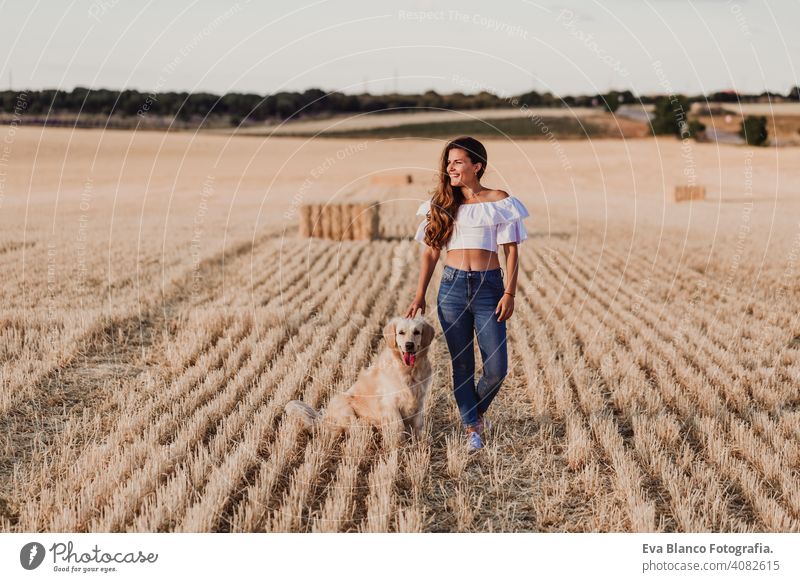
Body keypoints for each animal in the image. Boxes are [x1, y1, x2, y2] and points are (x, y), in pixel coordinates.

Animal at [288, 318, 434, 444]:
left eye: (417, 332)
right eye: (401, 332)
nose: (409, 345)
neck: (409, 371)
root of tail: (326, 418)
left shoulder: (419, 402)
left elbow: (418, 426)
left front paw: (421, 443)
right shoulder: (390, 404)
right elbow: (398, 428)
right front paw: (399, 448)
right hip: (344, 404)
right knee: (346, 429)